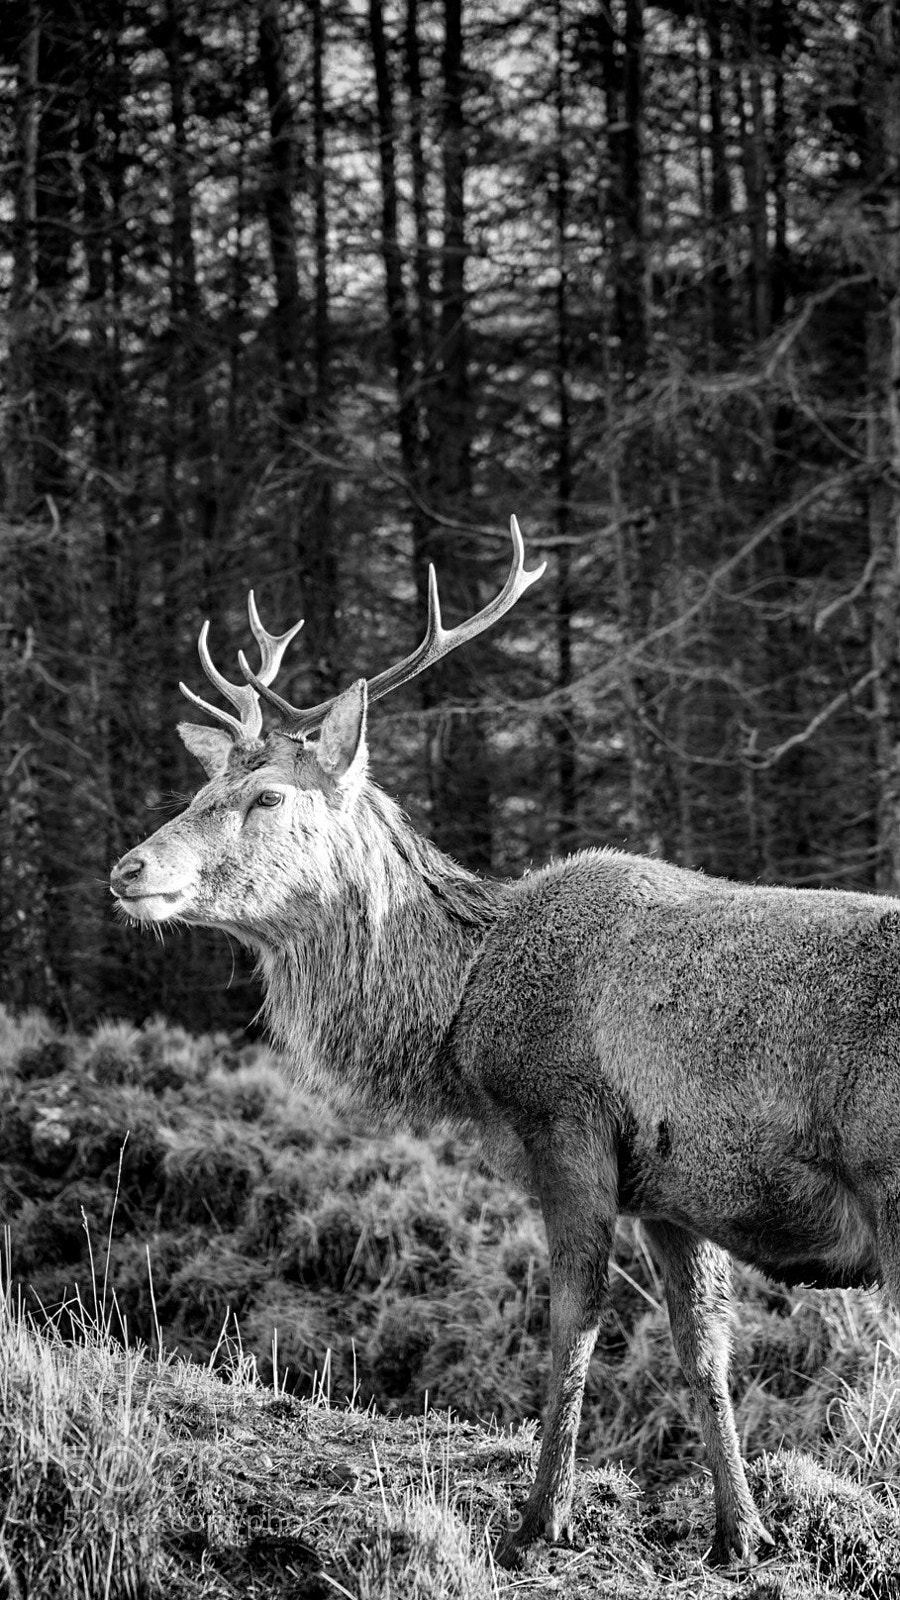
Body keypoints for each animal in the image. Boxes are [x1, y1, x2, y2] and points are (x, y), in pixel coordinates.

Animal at [111, 514, 900, 1567]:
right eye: (207, 784)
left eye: (268, 797)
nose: (128, 869)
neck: (457, 1023)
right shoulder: (674, 1187)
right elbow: (704, 1348)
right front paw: (742, 1533)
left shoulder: (563, 1120)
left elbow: (571, 1326)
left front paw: (539, 1522)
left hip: (891, 1179)